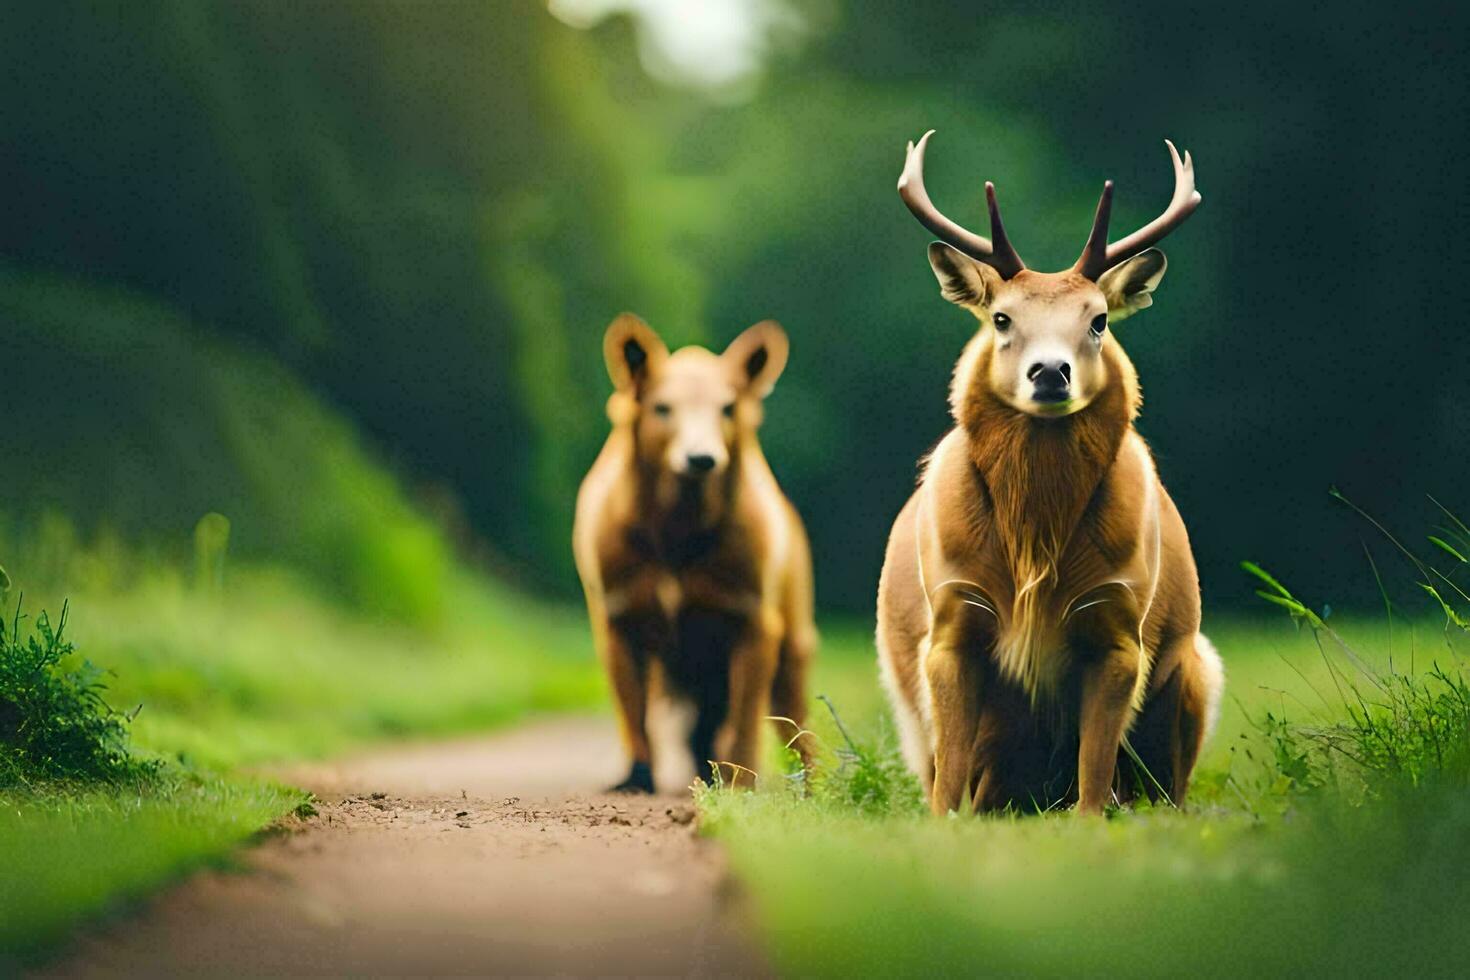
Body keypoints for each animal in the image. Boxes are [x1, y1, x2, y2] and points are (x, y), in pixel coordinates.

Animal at [876, 132, 1223, 822]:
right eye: (1001, 318)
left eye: (1099, 319)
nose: (1050, 372)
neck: (1034, 542)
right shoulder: (952, 618)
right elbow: (948, 779)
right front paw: (941, 826)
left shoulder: (1119, 625)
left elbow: (1094, 772)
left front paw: (1089, 824)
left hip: (1198, 668)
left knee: (1161, 786)